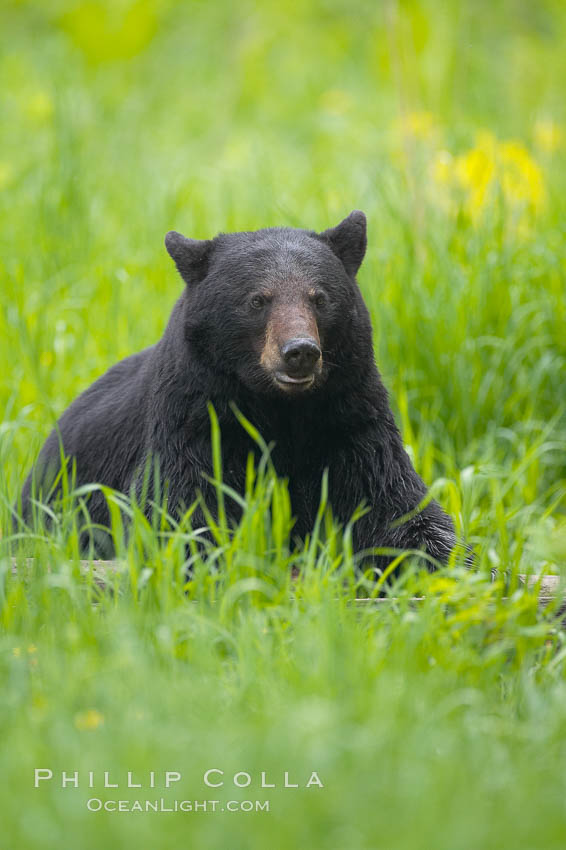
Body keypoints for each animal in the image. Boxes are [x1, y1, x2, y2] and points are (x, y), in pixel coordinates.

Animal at [20, 211, 460, 568]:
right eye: (257, 300)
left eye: (320, 298)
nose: (300, 352)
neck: (280, 409)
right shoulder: (194, 422)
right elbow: (179, 509)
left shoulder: (348, 418)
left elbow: (394, 504)